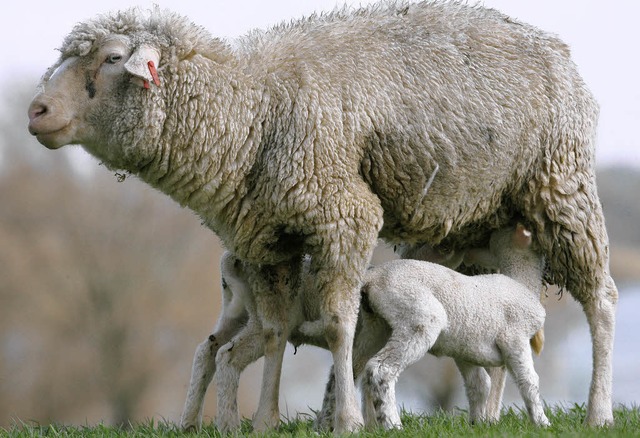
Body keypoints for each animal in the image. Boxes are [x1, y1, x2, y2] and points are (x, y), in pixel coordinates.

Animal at [27, 0, 616, 432]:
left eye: (111, 58)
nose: (36, 111)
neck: (251, 112)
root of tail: (557, 49)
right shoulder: (266, 241)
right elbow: (275, 330)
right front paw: (264, 420)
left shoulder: (346, 215)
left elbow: (339, 325)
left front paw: (348, 421)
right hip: (477, 220)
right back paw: (489, 417)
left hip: (563, 185)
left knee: (602, 300)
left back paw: (598, 410)